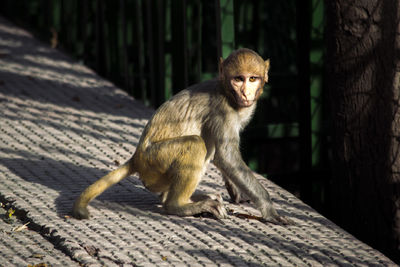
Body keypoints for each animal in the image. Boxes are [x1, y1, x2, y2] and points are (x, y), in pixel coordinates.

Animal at [72, 48, 290, 226]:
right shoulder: (223, 110)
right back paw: (178, 205)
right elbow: (226, 156)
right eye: (238, 79)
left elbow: (223, 157)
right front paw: (268, 209)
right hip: (155, 160)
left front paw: (236, 192)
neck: (228, 93)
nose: (245, 93)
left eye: (252, 79)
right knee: (196, 144)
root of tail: (137, 158)